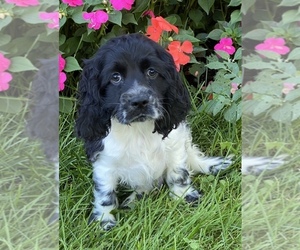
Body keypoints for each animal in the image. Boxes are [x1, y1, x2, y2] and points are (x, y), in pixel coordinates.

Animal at [75, 33, 232, 230]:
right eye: (115, 77)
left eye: (152, 72)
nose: (140, 101)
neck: (138, 130)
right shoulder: (104, 161)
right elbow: (105, 193)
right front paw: (104, 220)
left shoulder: (175, 143)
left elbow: (178, 173)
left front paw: (185, 196)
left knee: (191, 154)